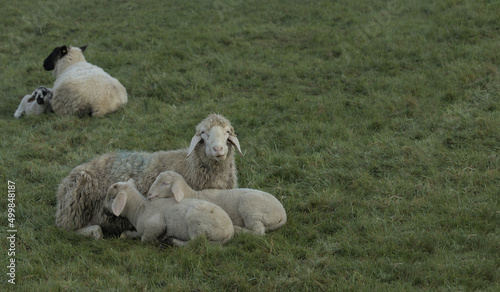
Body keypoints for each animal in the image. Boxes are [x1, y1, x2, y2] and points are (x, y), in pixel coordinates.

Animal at [104, 179, 233, 245]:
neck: (139, 208)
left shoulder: (156, 225)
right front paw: (127, 234)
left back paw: (173, 241)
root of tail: (230, 231)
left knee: (195, 243)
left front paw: (160, 238)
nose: (104, 210)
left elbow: (144, 238)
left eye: (111, 198)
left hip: (197, 225)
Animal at [147, 171, 286, 235]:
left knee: (258, 231)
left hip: (251, 207)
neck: (191, 194)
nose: (148, 194)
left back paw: (238, 229)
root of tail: (283, 214)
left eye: (164, 183)